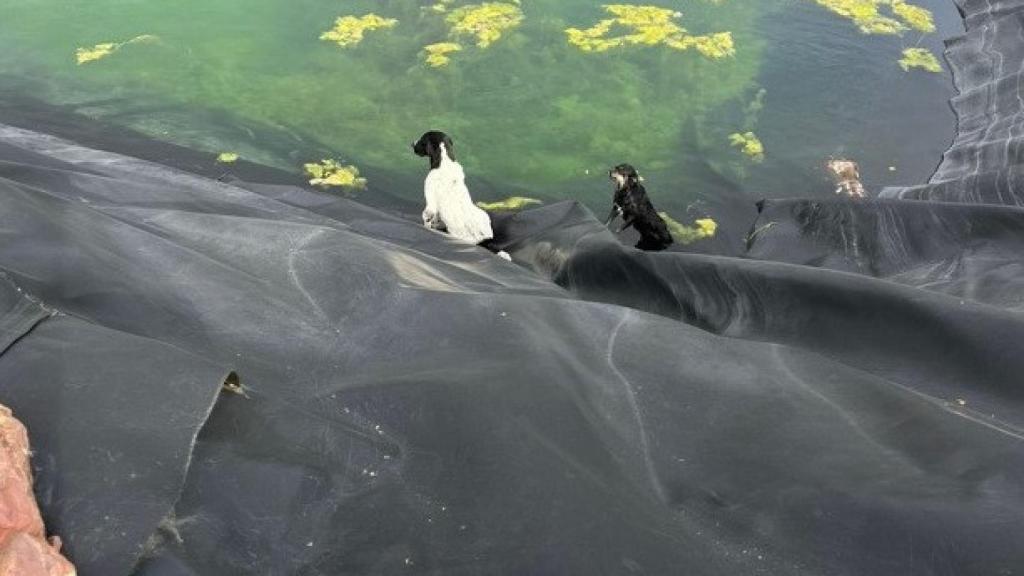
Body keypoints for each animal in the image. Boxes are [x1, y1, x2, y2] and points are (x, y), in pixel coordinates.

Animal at [411, 131, 512, 259]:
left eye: (422, 140)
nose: (412, 144)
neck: (445, 162)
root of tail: (484, 240)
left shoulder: (431, 204)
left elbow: (427, 219)